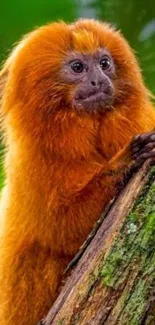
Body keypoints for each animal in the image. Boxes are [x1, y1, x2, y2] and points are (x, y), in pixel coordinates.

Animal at [0, 18, 155, 324]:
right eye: (78, 67)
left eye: (104, 63)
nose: (99, 80)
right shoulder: (32, 163)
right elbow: (64, 230)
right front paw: (124, 161)